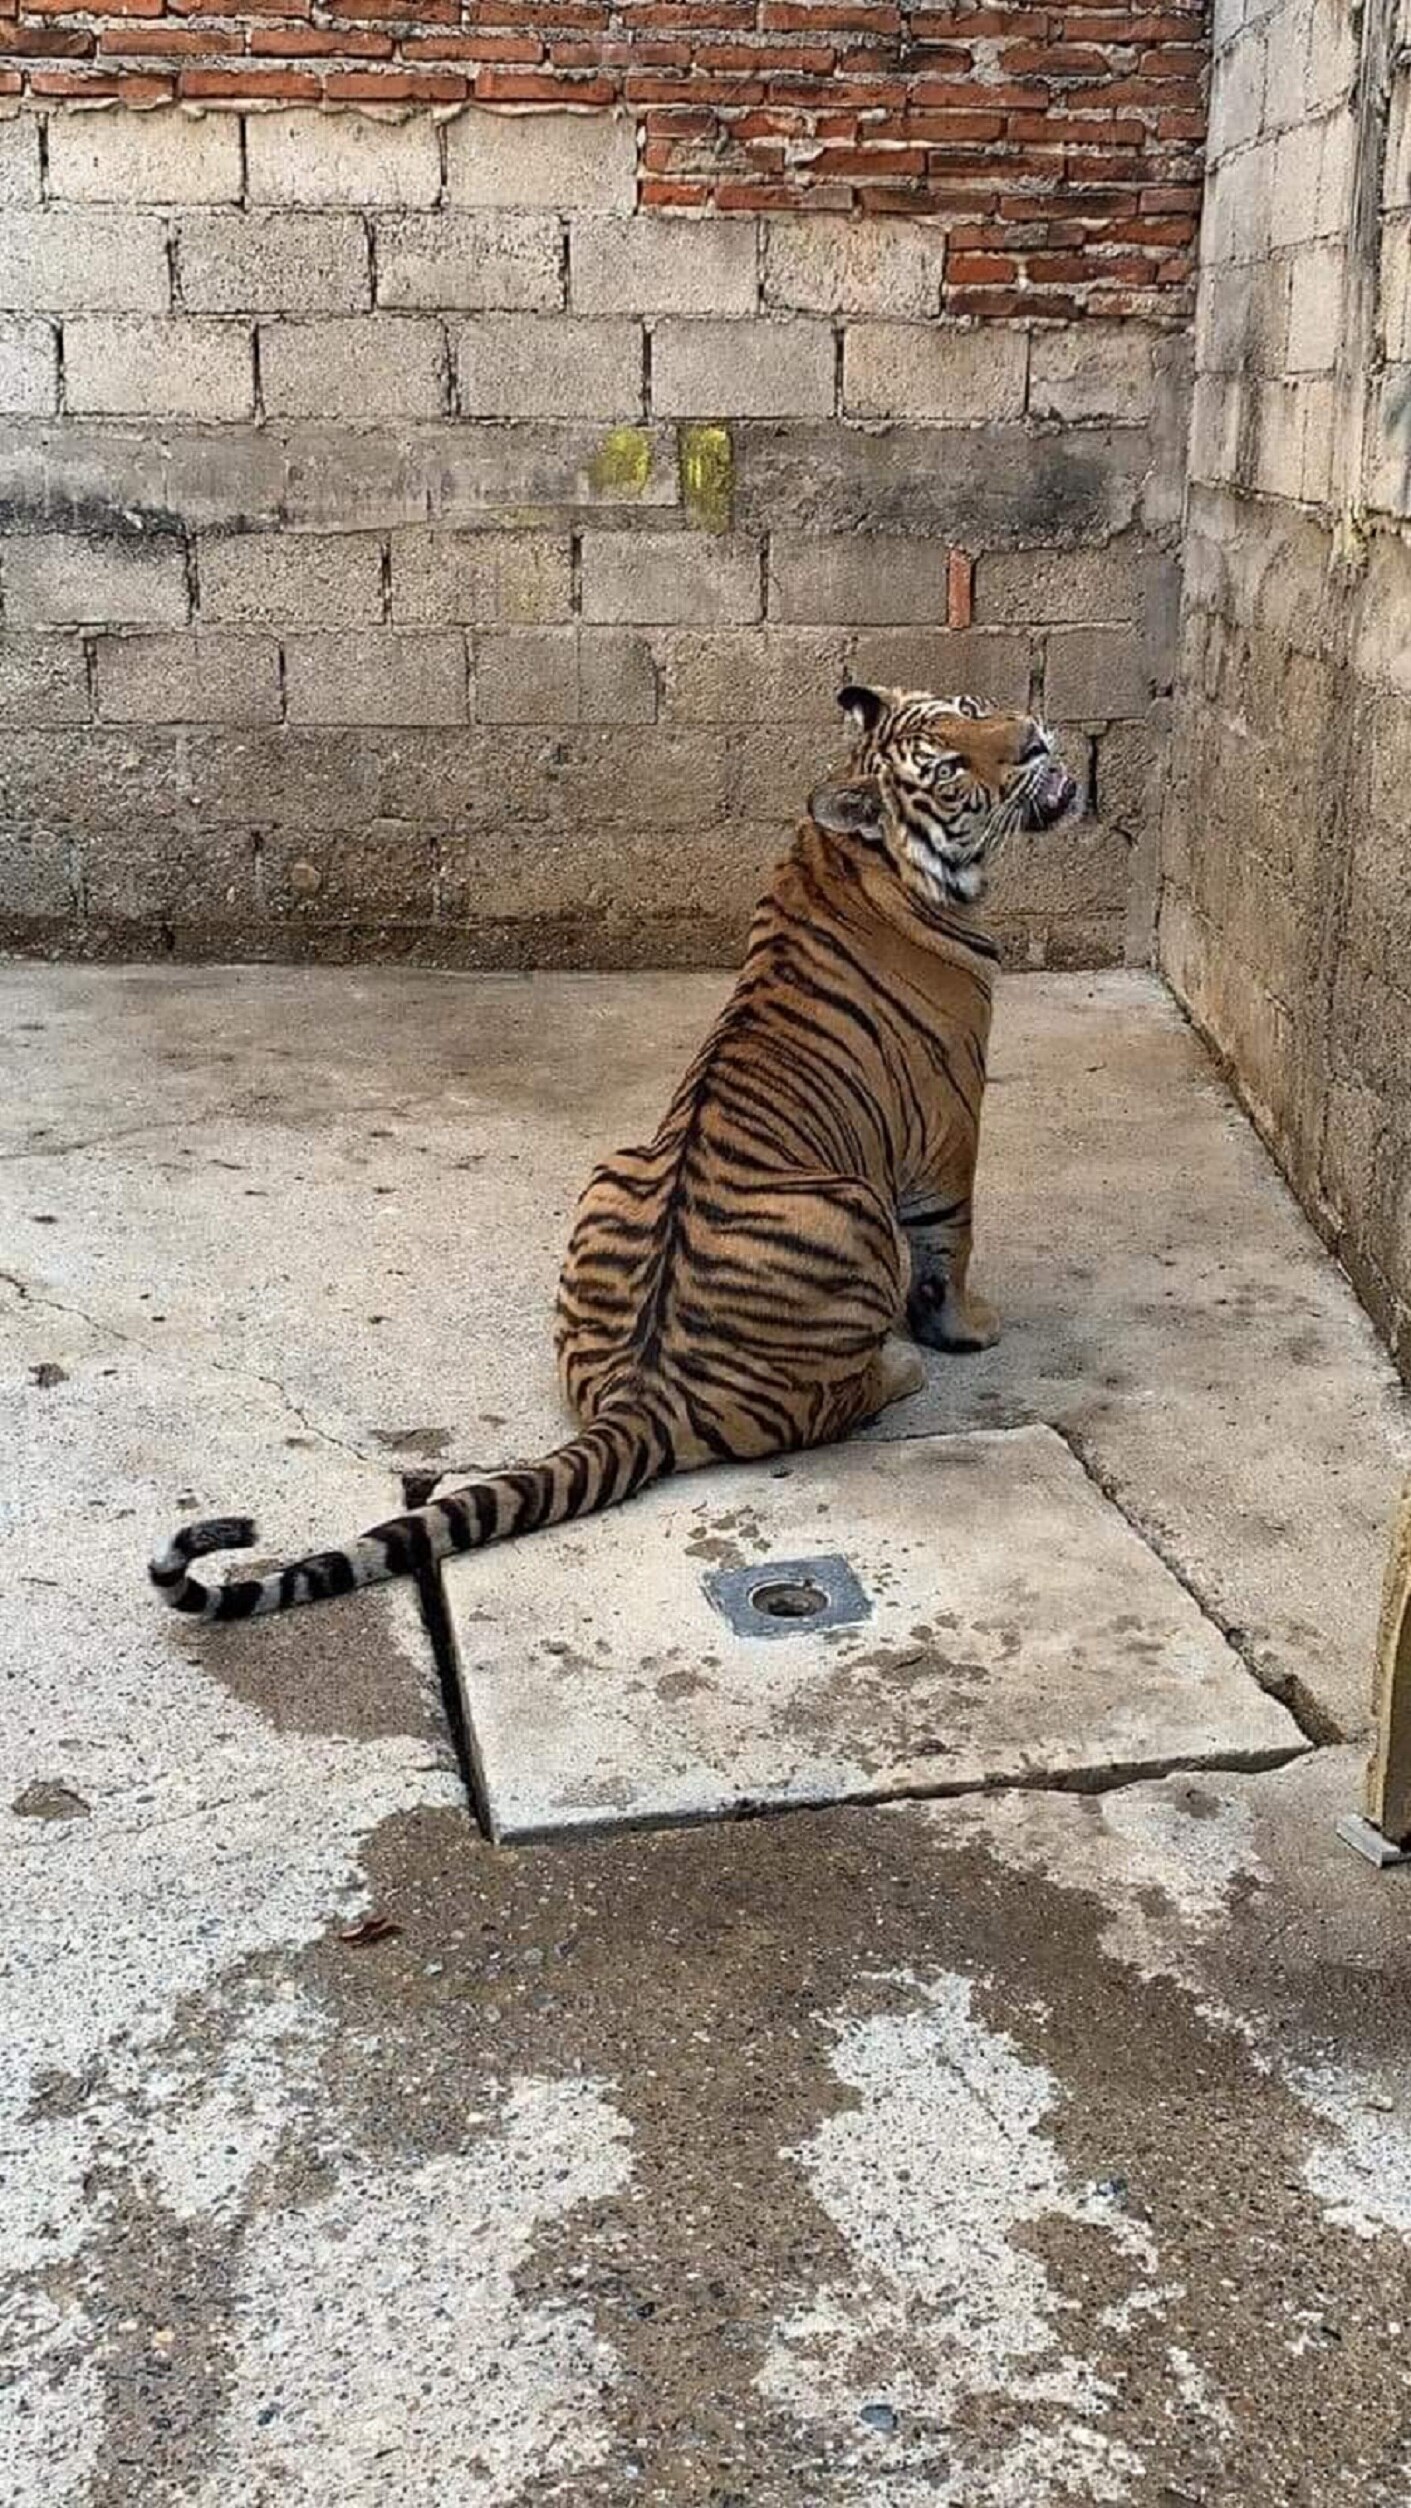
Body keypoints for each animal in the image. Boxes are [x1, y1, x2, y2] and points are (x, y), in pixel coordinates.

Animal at [150, 682, 1077, 1624]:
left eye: (971, 705)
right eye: (951, 766)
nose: (1035, 740)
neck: (850, 855)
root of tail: (643, 1398)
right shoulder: (952, 1125)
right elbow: (949, 1244)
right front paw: (965, 1331)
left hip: (613, 1167)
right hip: (852, 1208)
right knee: (833, 1404)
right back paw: (899, 1366)